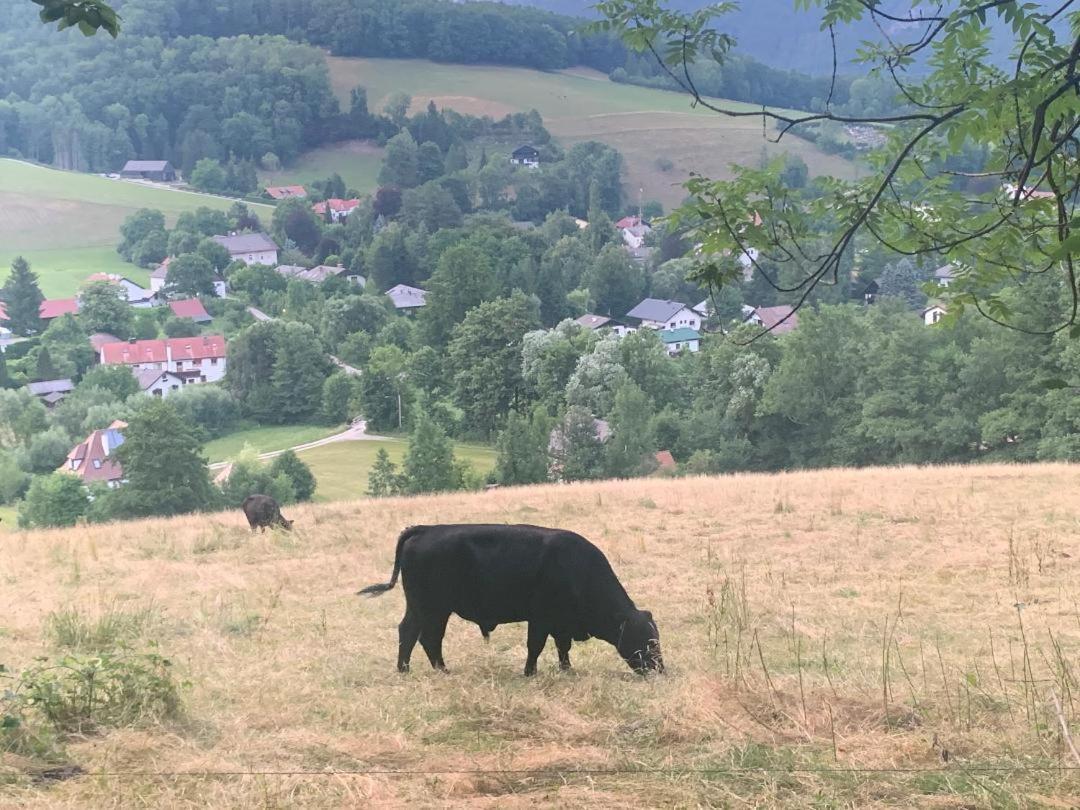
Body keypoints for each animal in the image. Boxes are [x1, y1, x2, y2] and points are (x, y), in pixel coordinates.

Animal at [358, 522, 660, 673]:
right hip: (430, 608)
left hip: (427, 609)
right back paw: (423, 670)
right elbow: (535, 646)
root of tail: (425, 529)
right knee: (418, 635)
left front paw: (566, 670)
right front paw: (530, 672)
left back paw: (421, 669)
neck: (577, 567)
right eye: (647, 641)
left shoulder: (560, 623)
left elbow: (563, 648)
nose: (659, 669)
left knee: (417, 635)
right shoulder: (540, 619)